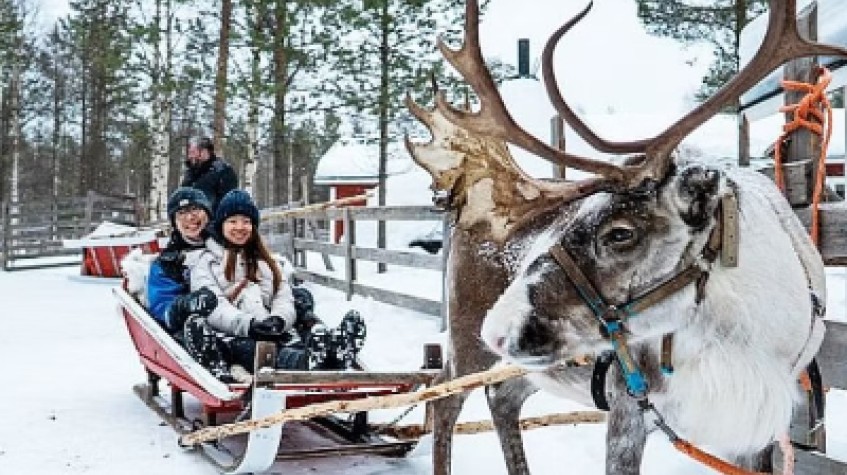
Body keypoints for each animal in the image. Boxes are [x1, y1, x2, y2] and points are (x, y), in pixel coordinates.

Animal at [405, 1, 847, 474]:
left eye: (620, 233)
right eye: (568, 221)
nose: (499, 329)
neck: (743, 341)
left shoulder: (756, 431)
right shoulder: (627, 407)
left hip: (529, 366)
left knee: (500, 397)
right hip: (467, 343)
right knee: (443, 398)